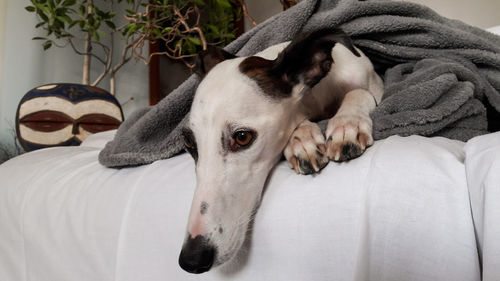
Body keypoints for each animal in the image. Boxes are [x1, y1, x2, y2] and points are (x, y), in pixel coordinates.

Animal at [179, 28, 382, 272]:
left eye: (242, 137)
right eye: (188, 142)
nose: (192, 259)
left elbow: (359, 92)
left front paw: (347, 124)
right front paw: (301, 139)